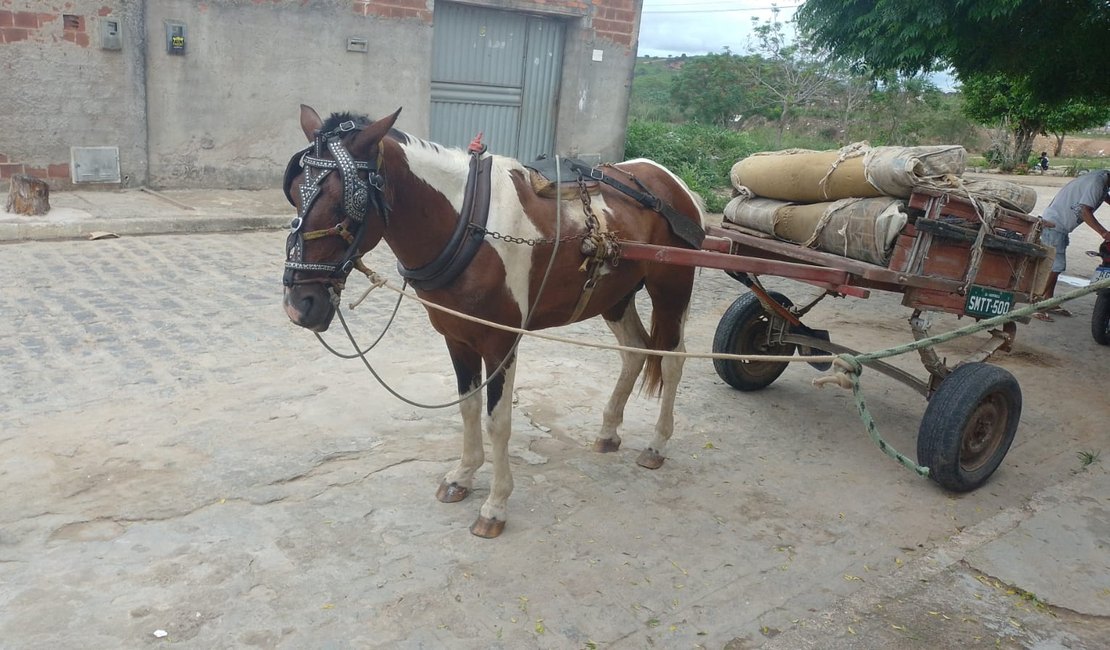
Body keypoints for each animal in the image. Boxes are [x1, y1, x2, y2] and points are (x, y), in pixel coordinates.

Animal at [281, 105, 705, 538]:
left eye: (345, 202)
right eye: (295, 192)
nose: (300, 304)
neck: (468, 223)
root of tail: (671, 182)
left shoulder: (501, 342)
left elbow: (497, 420)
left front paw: (495, 505)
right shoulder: (456, 337)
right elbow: (468, 408)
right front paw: (462, 475)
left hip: (671, 290)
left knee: (673, 360)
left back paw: (657, 444)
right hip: (615, 296)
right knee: (633, 351)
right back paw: (608, 432)